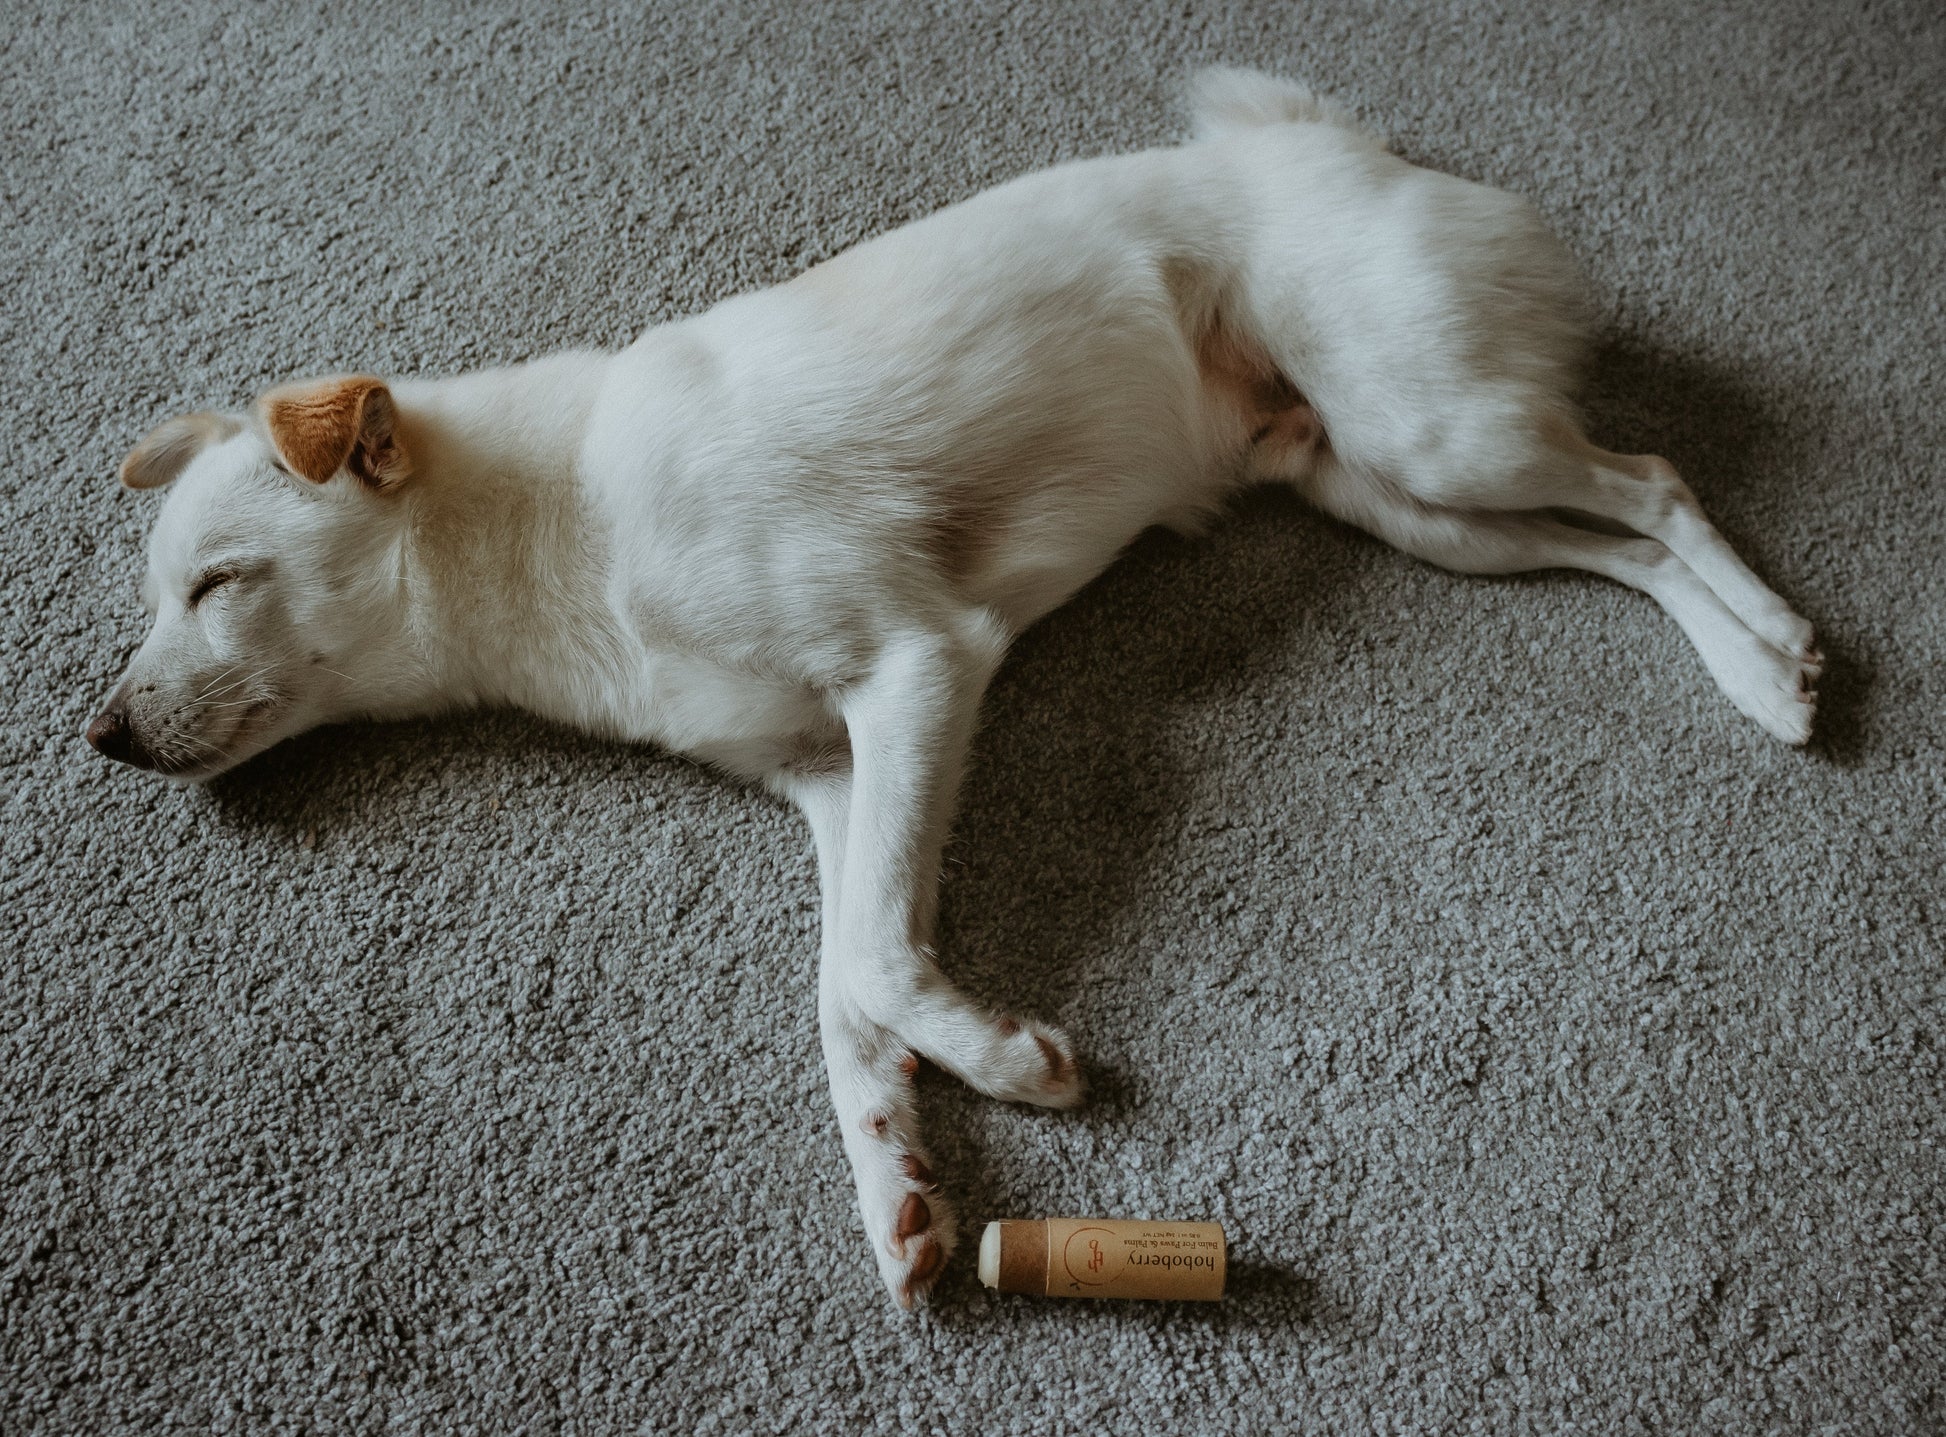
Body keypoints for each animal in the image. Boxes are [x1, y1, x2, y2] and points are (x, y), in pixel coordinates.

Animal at [83, 70, 1813, 1300]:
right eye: (156, 593)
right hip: (1401, 499)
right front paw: (900, 1190)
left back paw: (1792, 660)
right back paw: (1747, 670)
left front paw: (1002, 1067)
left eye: (216, 582)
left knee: (1656, 480)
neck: (564, 521)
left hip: (1432, 427)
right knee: (1619, 545)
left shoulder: (917, 667)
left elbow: (869, 959)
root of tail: (1342, 147)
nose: (95, 736)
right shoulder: (831, 775)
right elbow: (842, 989)